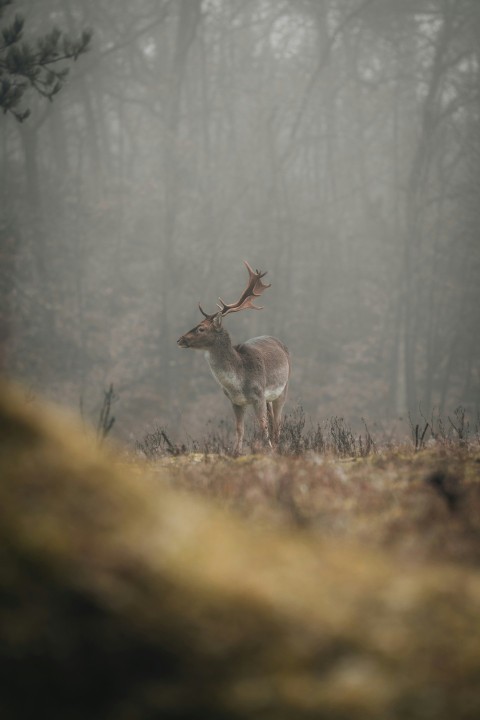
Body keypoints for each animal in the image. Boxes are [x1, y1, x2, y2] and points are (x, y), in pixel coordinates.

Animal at [176, 262, 288, 456]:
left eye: (201, 328)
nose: (180, 339)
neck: (239, 382)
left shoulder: (259, 395)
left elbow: (263, 427)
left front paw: (266, 450)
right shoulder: (235, 401)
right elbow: (239, 429)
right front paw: (236, 453)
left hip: (283, 390)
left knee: (277, 423)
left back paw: (276, 446)